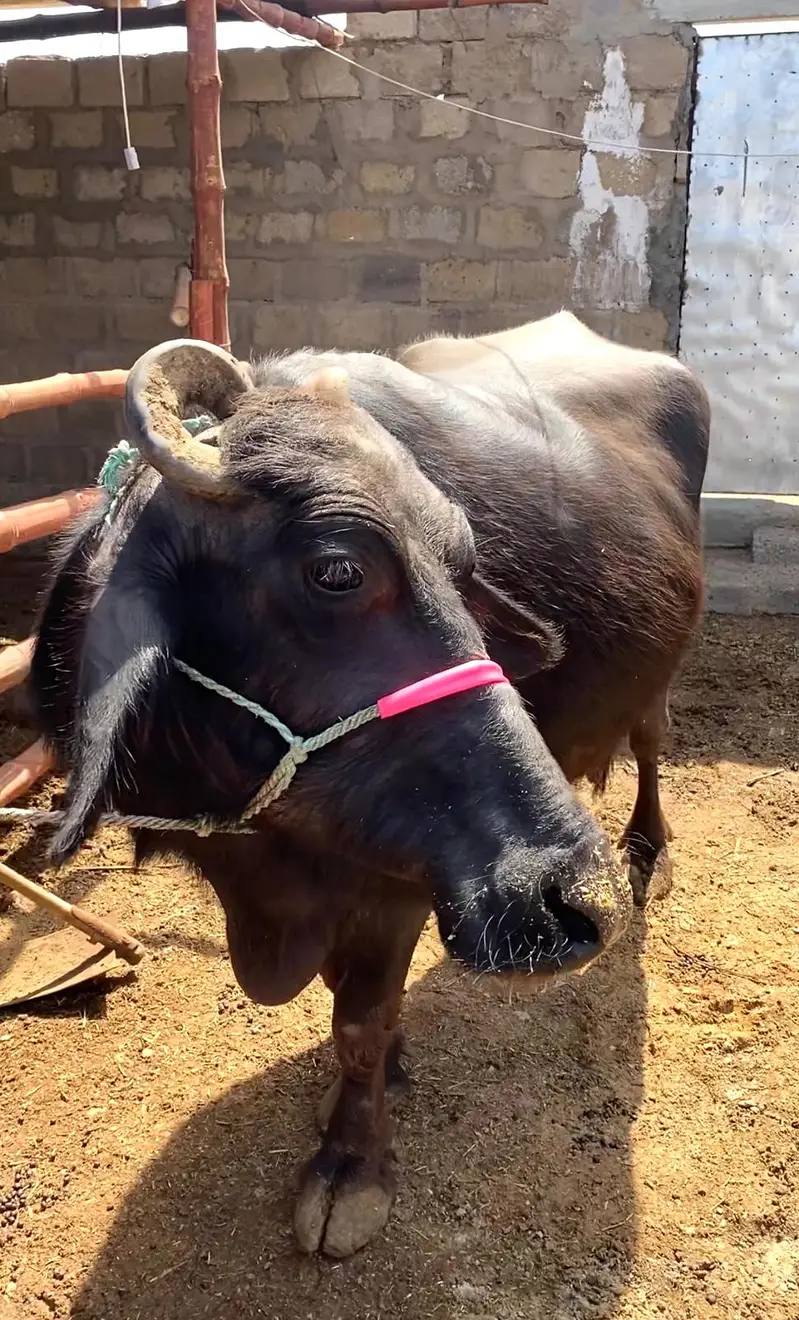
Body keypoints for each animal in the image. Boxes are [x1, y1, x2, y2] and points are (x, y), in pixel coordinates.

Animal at [28, 311, 709, 1258]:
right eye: (337, 570)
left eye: (463, 566)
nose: (580, 898)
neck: (272, 850)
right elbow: (347, 1003)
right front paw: (390, 1066)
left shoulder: (401, 883)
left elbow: (357, 1017)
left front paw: (352, 1162)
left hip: (658, 682)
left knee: (649, 740)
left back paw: (647, 850)